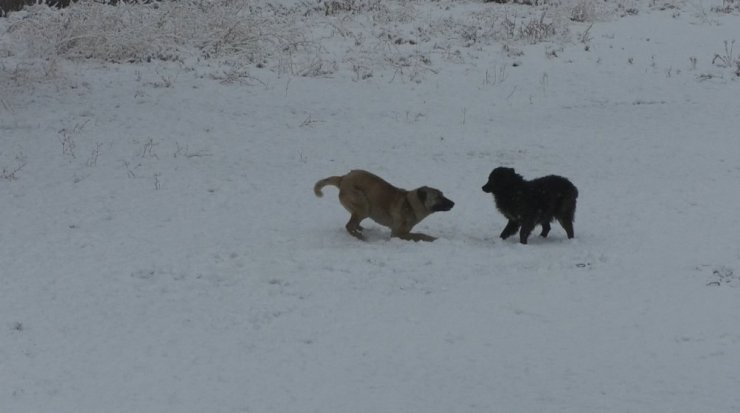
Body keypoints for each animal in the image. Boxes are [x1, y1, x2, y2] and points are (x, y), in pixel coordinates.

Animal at [316, 169, 454, 241]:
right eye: (438, 197)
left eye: (442, 194)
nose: (453, 203)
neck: (410, 203)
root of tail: (343, 178)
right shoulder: (397, 234)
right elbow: (420, 235)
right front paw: (434, 239)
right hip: (363, 206)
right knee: (349, 226)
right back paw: (361, 237)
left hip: (362, 209)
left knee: (354, 223)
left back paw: (362, 229)